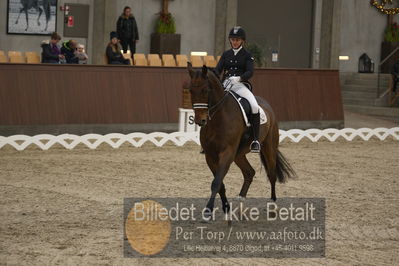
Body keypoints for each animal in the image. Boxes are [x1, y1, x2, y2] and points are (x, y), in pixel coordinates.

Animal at [188, 63, 296, 217]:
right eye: (190, 90)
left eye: (205, 90)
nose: (199, 120)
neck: (218, 118)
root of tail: (266, 105)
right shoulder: (210, 155)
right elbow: (220, 184)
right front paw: (226, 207)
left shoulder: (227, 153)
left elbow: (216, 182)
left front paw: (208, 211)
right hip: (239, 154)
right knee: (249, 172)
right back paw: (240, 203)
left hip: (268, 147)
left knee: (271, 173)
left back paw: (272, 205)